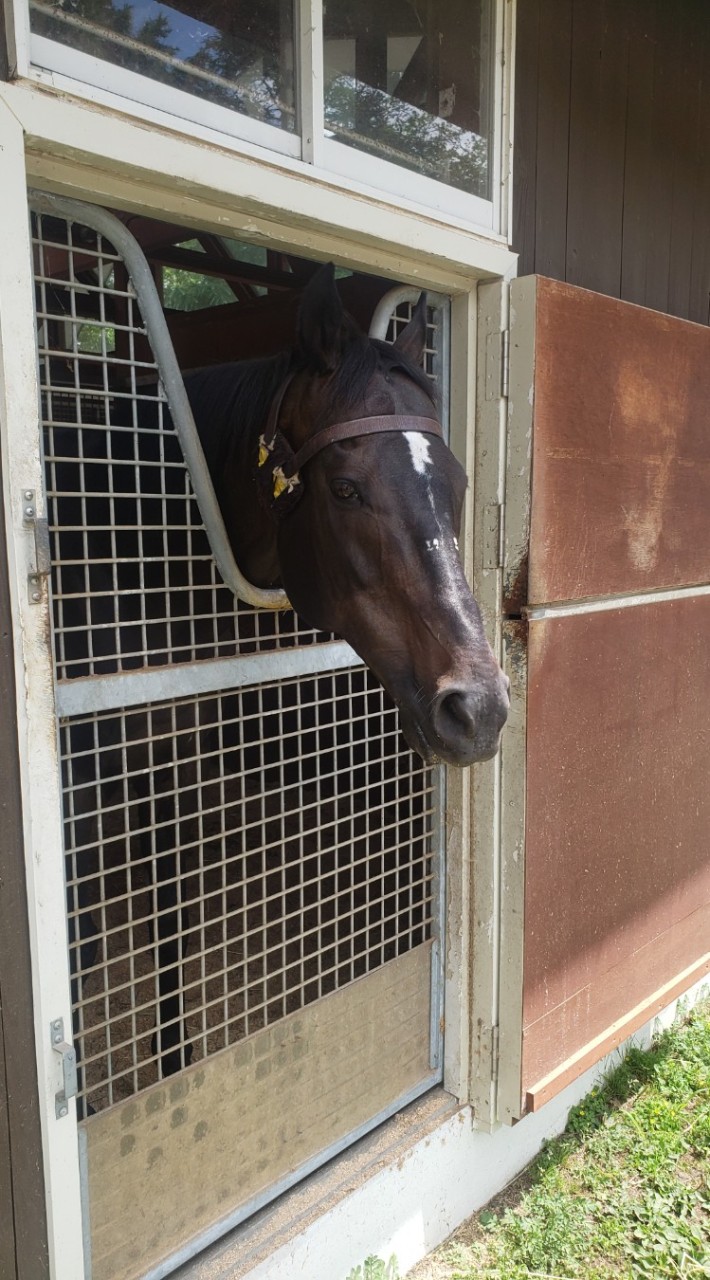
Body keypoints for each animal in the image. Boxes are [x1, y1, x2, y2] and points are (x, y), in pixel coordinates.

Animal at [58, 262, 509, 1100]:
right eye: (345, 488)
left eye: (457, 482)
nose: (481, 708)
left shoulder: (171, 769)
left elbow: (169, 915)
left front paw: (175, 1065)